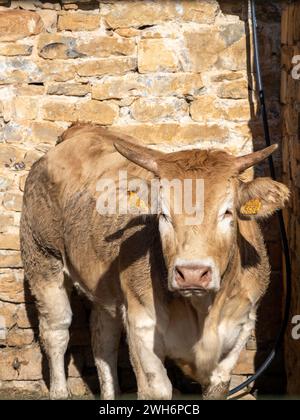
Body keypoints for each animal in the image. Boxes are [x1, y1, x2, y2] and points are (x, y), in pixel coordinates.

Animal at [19, 123, 290, 398]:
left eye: (227, 212)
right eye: (163, 214)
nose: (192, 274)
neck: (202, 311)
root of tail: (78, 133)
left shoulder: (239, 331)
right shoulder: (141, 327)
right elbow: (157, 388)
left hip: (105, 289)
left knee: (103, 340)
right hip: (42, 259)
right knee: (57, 331)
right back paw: (59, 390)